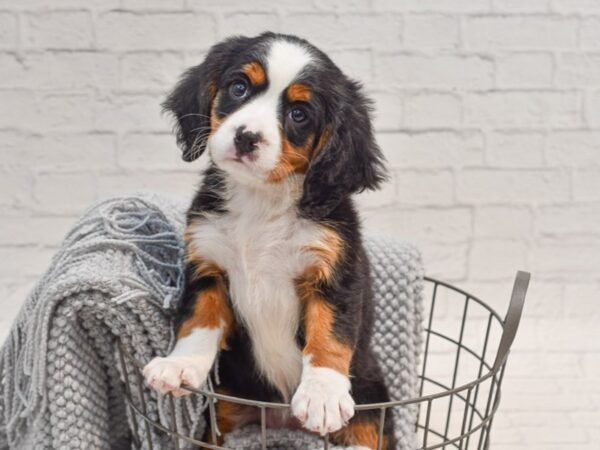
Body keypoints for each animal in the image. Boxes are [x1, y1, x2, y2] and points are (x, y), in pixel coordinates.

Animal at [141, 32, 394, 450]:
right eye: (239, 87)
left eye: (299, 114)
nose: (246, 137)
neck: (261, 200)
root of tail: (281, 420)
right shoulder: (207, 264)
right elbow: (198, 321)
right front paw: (180, 365)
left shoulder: (337, 274)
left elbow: (330, 335)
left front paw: (322, 393)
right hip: (225, 412)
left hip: (372, 407)